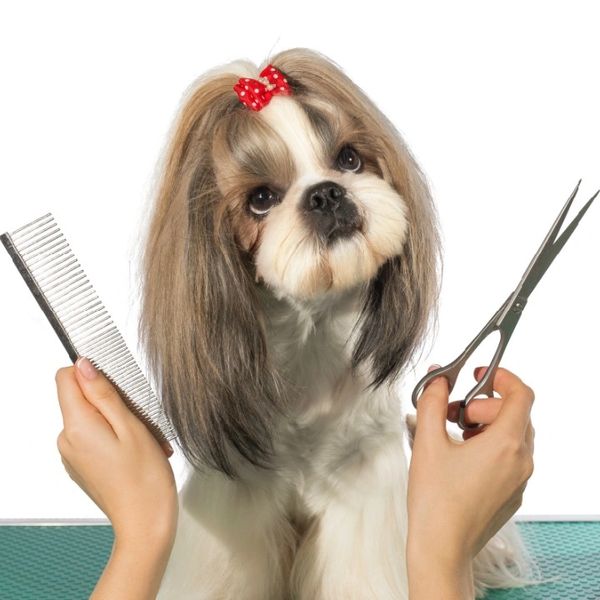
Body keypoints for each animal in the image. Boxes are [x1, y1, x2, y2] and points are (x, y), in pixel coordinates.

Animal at [136, 47, 536, 600]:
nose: (326, 194)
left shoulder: (364, 492)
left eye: (348, 159)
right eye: (261, 198)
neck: (312, 340)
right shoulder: (236, 501)